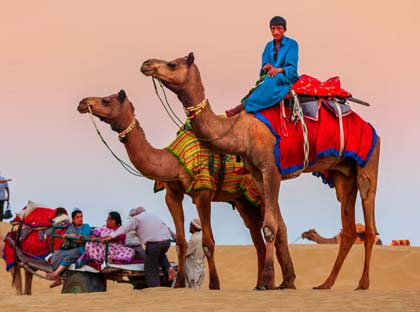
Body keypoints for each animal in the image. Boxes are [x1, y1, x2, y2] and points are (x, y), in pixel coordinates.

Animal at [77, 90, 270, 290]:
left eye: (106, 100)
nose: (82, 103)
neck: (173, 163)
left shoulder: (203, 191)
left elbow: (208, 242)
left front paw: (214, 285)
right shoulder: (172, 194)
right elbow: (180, 242)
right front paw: (178, 284)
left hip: (258, 187)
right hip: (243, 200)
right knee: (258, 239)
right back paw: (259, 285)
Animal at [140, 53, 380, 290]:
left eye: (172, 64)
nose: (146, 64)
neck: (241, 131)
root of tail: (370, 127)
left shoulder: (271, 170)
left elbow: (270, 227)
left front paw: (267, 281)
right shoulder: (257, 174)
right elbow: (275, 226)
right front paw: (279, 282)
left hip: (368, 161)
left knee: (368, 219)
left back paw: (363, 283)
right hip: (342, 174)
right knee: (348, 228)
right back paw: (326, 283)